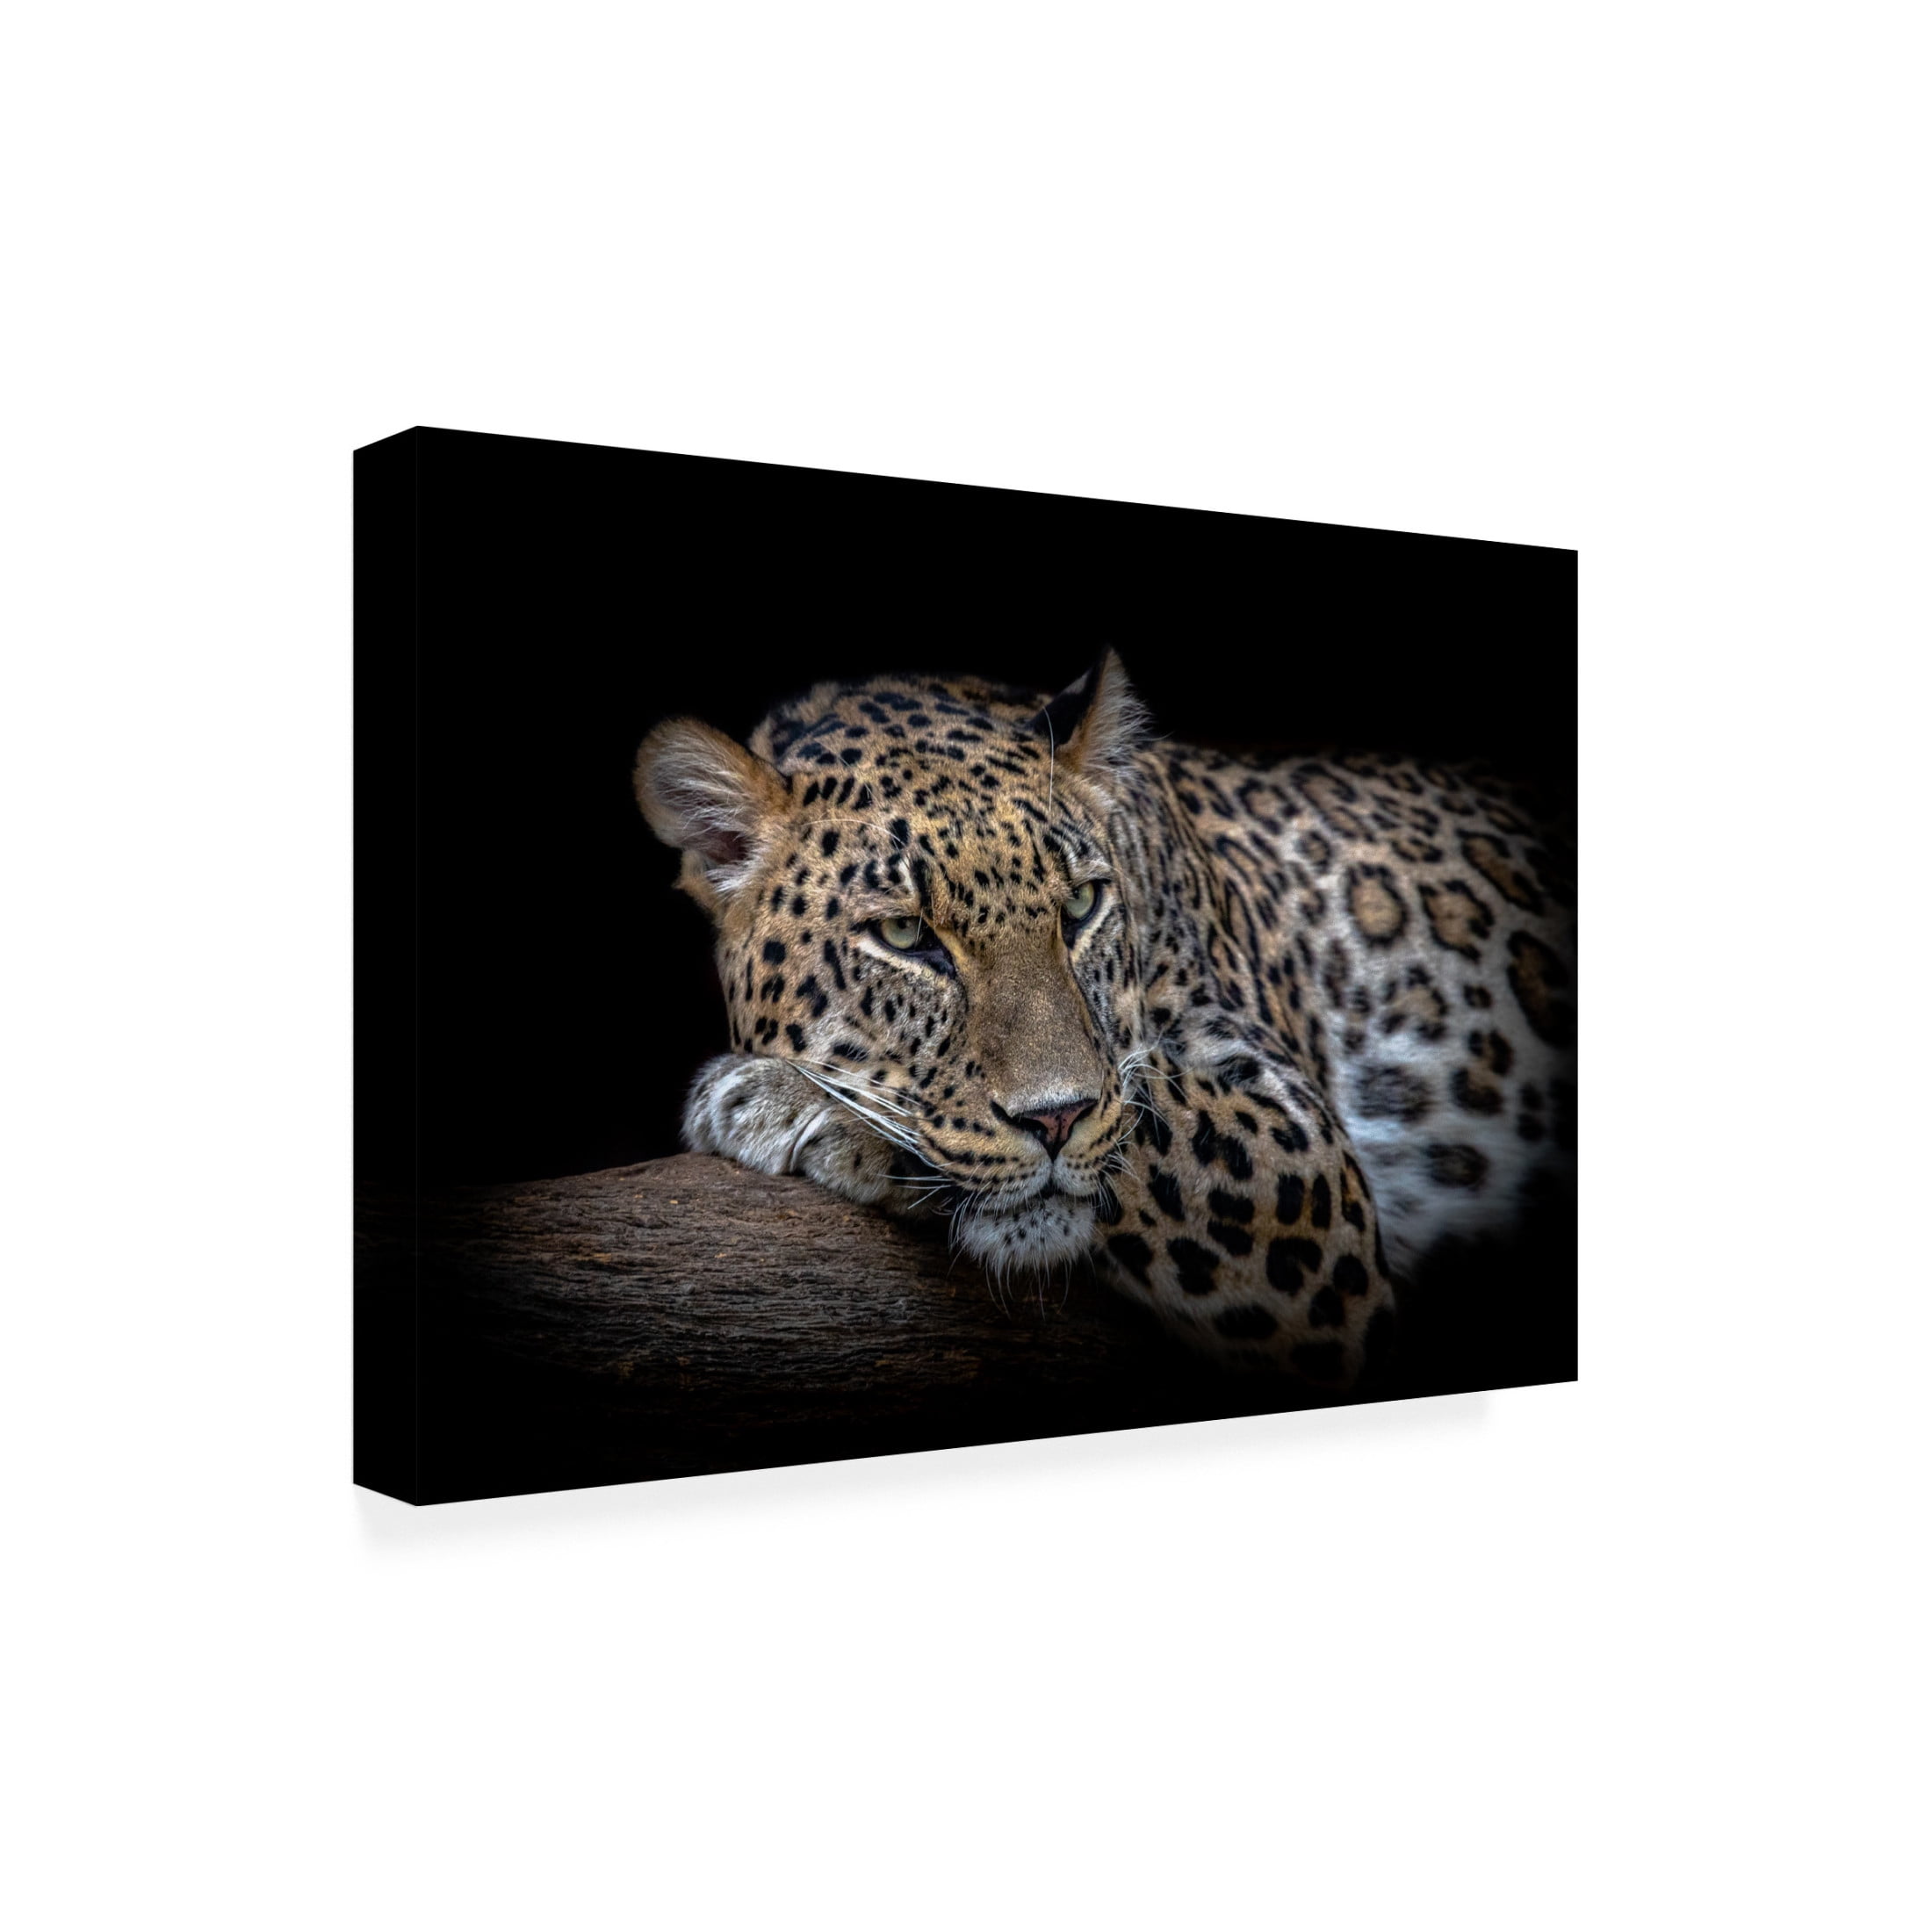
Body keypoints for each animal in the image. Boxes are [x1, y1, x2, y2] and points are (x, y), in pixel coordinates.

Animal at [634, 651, 1575, 1394]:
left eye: (1082, 904)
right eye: (904, 935)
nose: (1056, 1120)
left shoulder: (1302, 1161)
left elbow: (1148, 1114)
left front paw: (790, 1102)